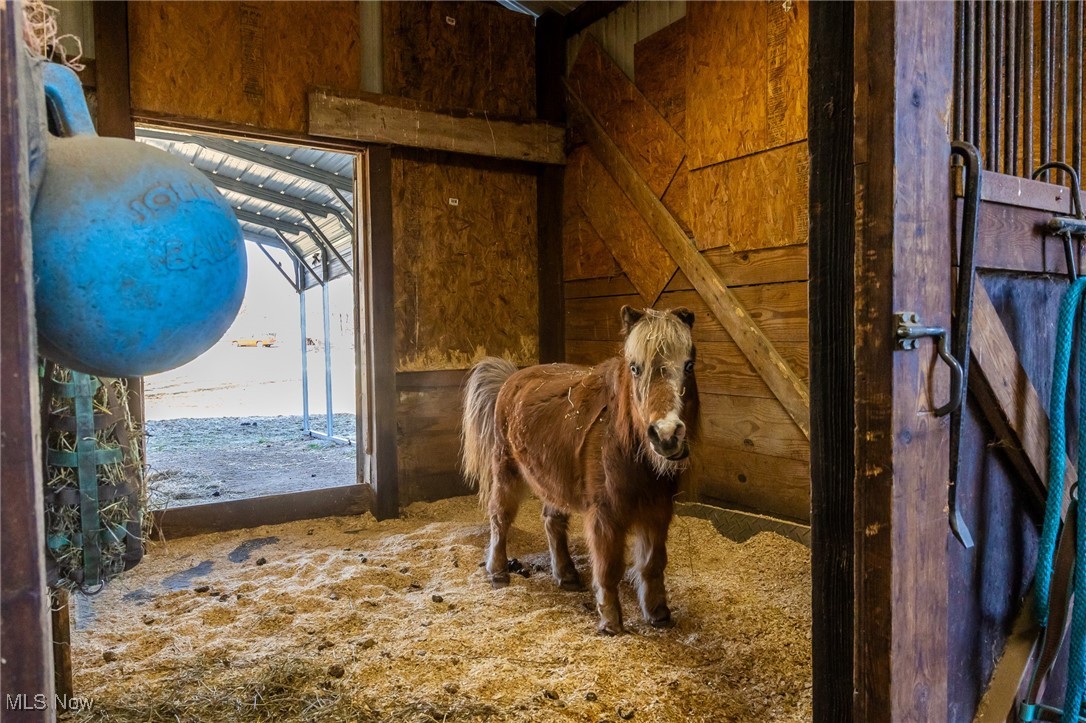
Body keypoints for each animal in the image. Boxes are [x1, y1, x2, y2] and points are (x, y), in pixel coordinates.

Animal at [461, 305, 699, 635]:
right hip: (506, 471)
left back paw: (567, 576)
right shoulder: (605, 516)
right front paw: (611, 622)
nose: (666, 435)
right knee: (500, 518)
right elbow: (608, 567)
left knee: (552, 522)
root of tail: (513, 377)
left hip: (552, 480)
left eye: (689, 364)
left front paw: (658, 614)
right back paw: (497, 573)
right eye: (635, 368)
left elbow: (653, 564)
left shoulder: (658, 510)